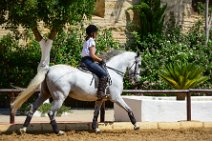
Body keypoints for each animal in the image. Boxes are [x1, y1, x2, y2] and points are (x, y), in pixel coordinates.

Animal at [11, 50, 141, 134]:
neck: (113, 71)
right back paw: (58, 132)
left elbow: (95, 114)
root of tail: (49, 69)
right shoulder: (116, 97)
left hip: (44, 94)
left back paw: (23, 129)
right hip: (60, 97)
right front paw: (136, 126)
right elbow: (129, 110)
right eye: (139, 64)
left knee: (32, 108)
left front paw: (96, 129)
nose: (137, 80)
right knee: (51, 112)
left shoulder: (100, 99)